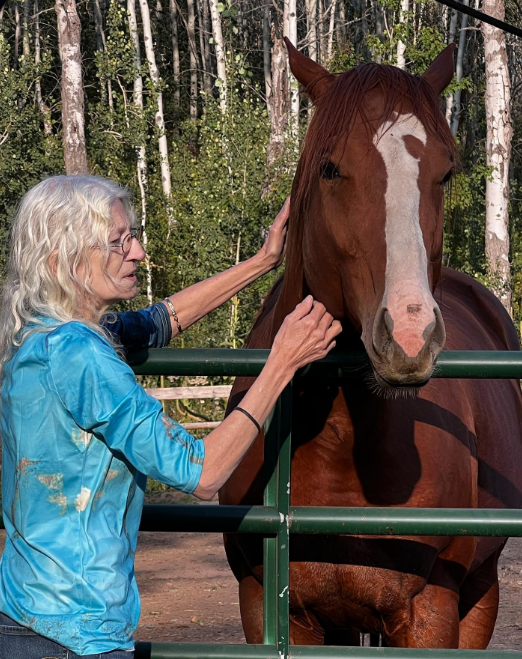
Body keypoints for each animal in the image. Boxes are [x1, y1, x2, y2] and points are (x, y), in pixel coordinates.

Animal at [220, 41, 522, 649]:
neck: (339, 441)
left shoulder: (429, 614)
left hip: (480, 594)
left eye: (445, 173)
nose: (410, 336)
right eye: (331, 168)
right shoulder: (271, 609)